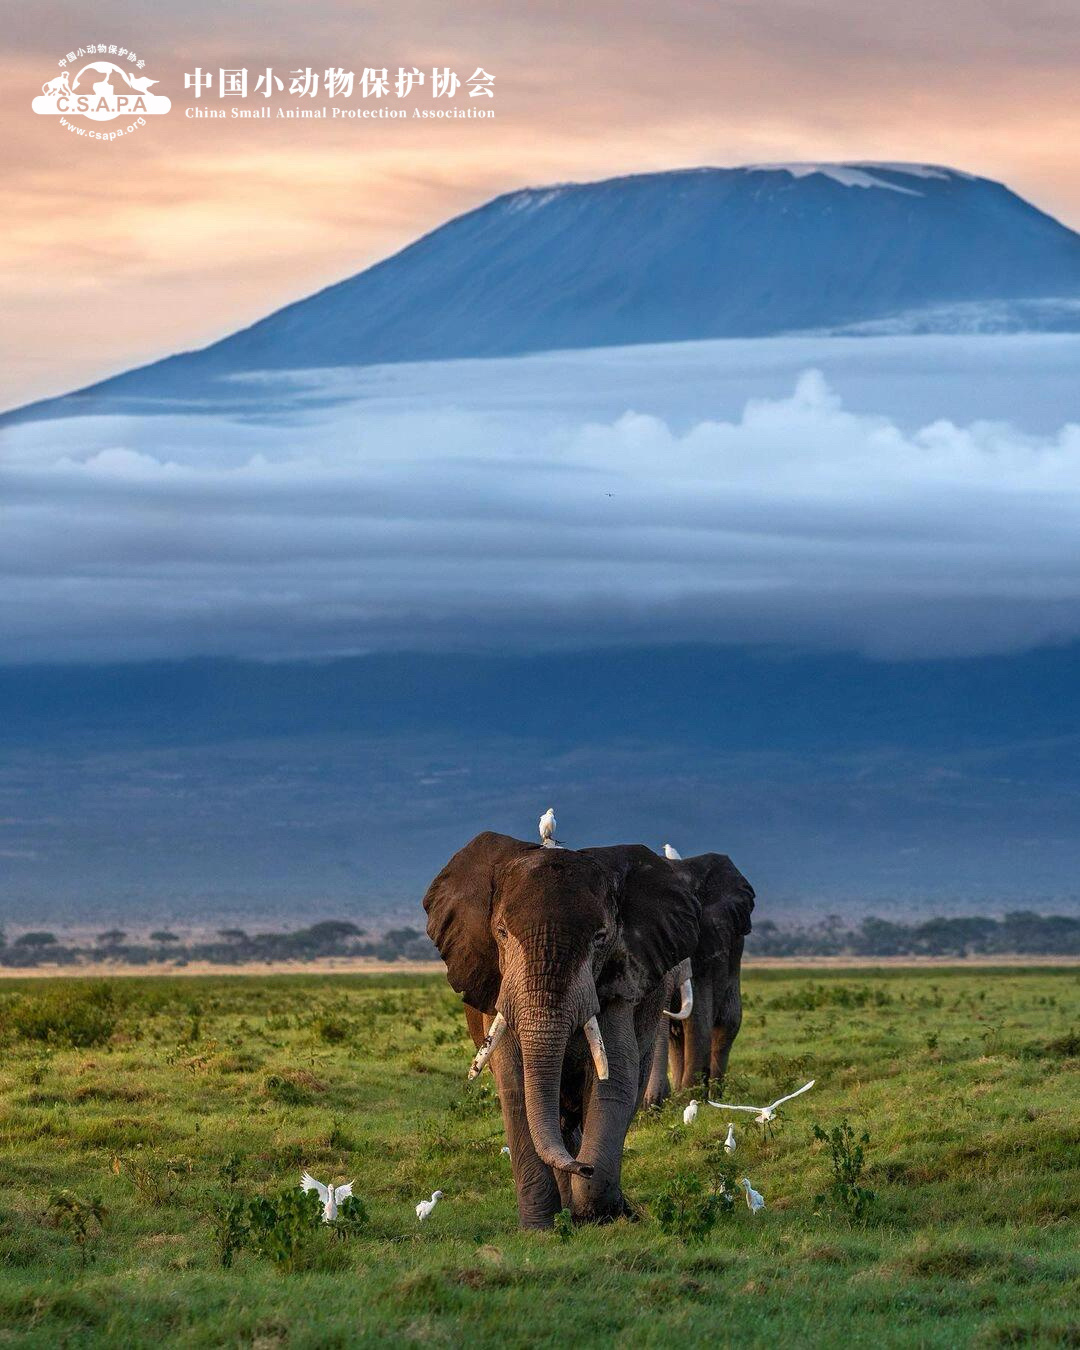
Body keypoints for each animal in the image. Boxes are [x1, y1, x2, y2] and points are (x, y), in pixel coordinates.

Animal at [421, 826, 702, 1231]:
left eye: (601, 938)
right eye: (501, 933)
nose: (582, 1167)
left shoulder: (619, 979)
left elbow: (615, 1074)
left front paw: (598, 1213)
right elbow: (514, 1081)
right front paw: (540, 1228)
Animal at [645, 853, 756, 1107]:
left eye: (689, 918)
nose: (655, 1103)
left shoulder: (707, 943)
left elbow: (698, 1019)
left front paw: (690, 1098)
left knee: (727, 1024)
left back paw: (713, 1096)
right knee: (676, 1037)